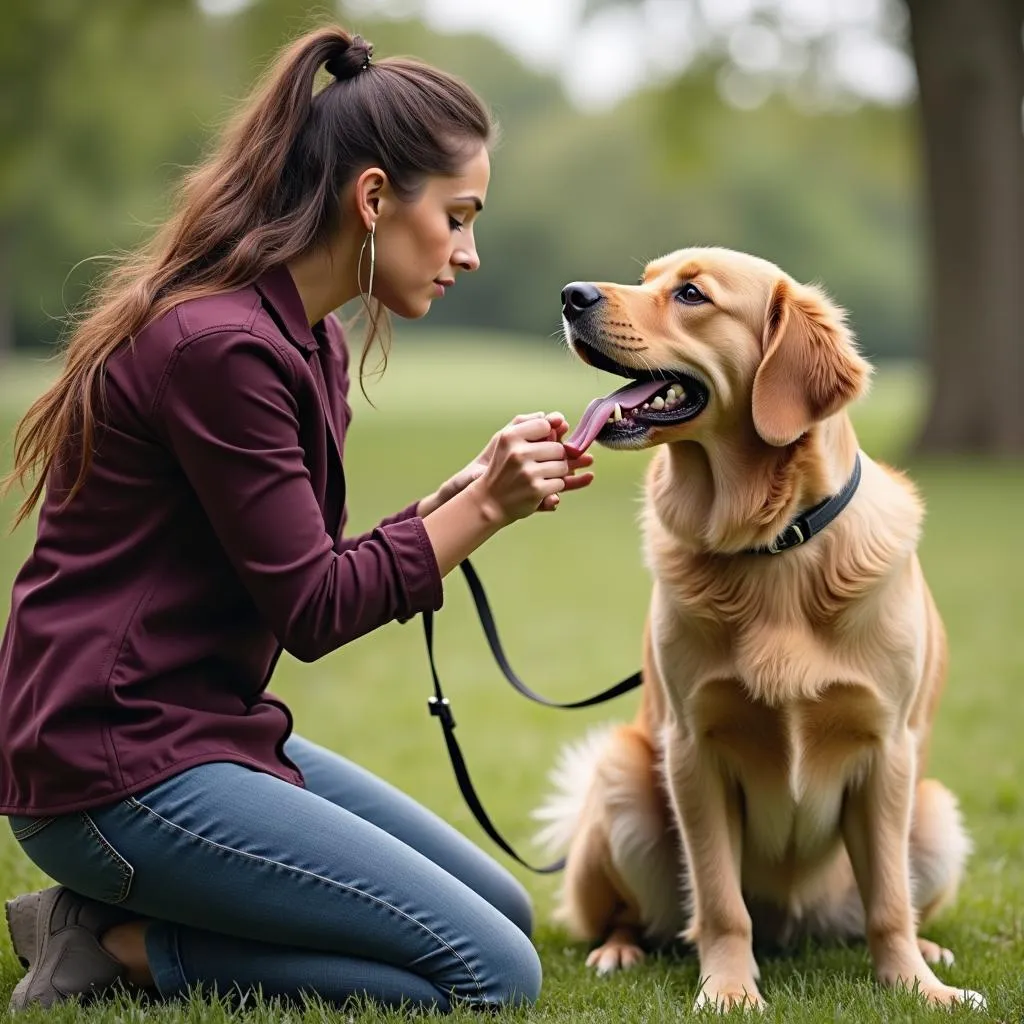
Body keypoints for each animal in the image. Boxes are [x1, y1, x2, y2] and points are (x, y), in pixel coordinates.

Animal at [532, 245, 978, 1007]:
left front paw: (917, 988)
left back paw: (927, 949)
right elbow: (719, 901)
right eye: (646, 278)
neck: (773, 547)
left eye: (690, 294)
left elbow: (890, 901)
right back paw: (619, 951)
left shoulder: (887, 750)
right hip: (621, 778)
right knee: (632, 917)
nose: (569, 295)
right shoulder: (693, 748)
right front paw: (730, 991)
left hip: (935, 813)